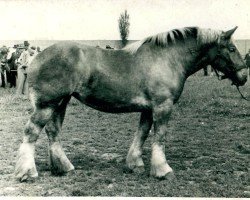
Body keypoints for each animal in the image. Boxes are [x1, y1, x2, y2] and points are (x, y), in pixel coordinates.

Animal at [14, 26, 247, 181]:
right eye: (232, 48)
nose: (244, 76)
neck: (168, 58)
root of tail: (36, 58)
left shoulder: (148, 109)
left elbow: (142, 133)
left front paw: (134, 164)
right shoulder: (163, 106)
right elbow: (159, 136)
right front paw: (162, 170)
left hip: (60, 103)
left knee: (53, 132)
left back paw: (64, 167)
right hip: (47, 105)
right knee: (31, 132)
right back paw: (27, 172)